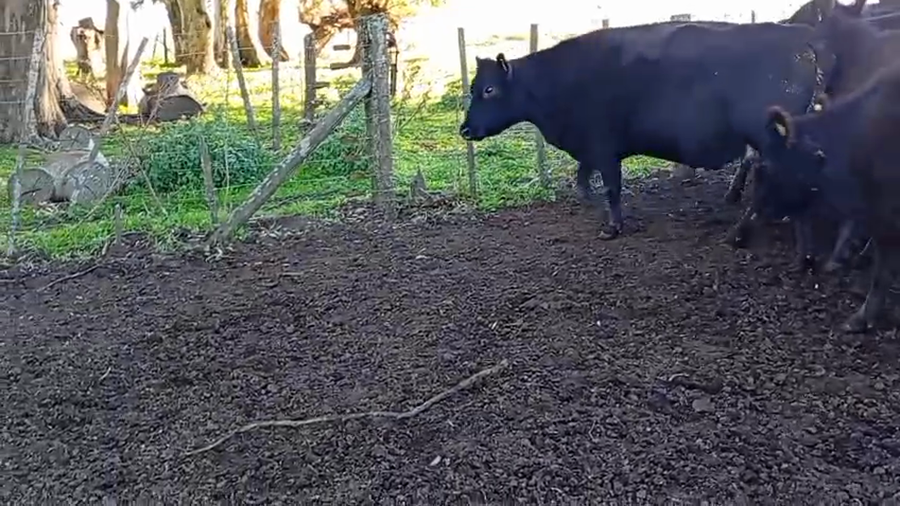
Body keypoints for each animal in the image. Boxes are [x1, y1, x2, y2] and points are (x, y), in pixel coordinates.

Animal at [458, 20, 832, 240]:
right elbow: (582, 181)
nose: (464, 129)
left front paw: (613, 227)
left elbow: (611, 187)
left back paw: (742, 230)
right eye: (473, 88)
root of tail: (801, 40)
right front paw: (590, 203)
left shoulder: (603, 146)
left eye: (489, 90)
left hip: (767, 136)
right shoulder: (590, 148)